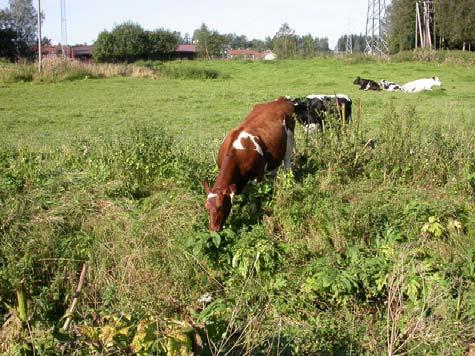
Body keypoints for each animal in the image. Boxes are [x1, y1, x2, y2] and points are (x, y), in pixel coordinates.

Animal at [204, 96, 296, 232]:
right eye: (206, 207)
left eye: (220, 207)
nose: (214, 229)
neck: (236, 152)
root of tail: (281, 99)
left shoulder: (257, 177)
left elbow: (254, 197)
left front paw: (252, 214)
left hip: (289, 142)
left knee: (287, 167)